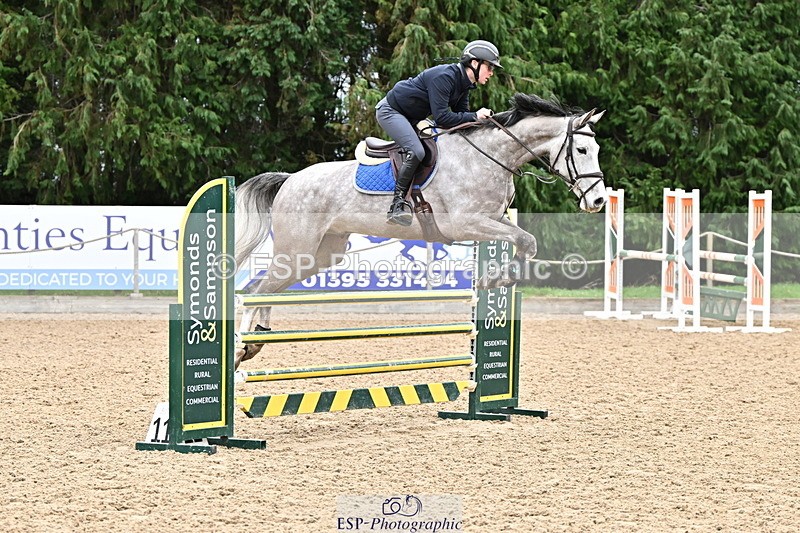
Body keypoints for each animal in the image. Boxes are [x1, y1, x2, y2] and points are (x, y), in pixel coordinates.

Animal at [233, 93, 607, 367]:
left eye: (596, 149)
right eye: (582, 149)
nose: (599, 200)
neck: (490, 157)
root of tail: (289, 180)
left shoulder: (493, 220)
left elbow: (526, 241)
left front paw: (497, 277)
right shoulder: (465, 224)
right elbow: (523, 240)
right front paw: (496, 278)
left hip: (320, 255)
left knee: (268, 289)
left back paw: (256, 343)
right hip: (297, 247)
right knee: (255, 290)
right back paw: (240, 350)